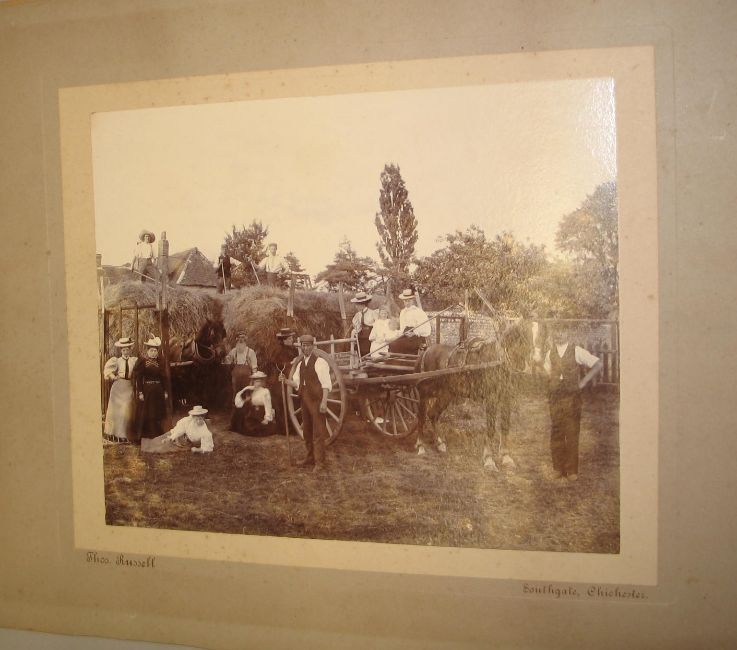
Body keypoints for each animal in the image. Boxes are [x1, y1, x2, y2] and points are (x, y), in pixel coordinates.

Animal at [413, 318, 532, 470]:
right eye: (526, 335)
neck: (498, 360)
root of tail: (426, 351)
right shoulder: (491, 399)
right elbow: (490, 429)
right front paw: (489, 460)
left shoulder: (506, 398)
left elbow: (505, 426)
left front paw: (506, 458)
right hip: (424, 394)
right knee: (421, 417)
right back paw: (421, 446)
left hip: (446, 394)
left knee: (433, 415)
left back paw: (440, 444)